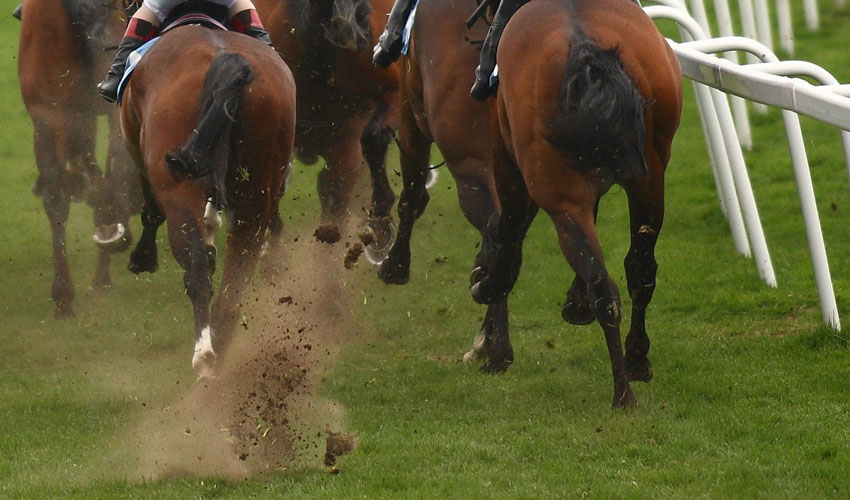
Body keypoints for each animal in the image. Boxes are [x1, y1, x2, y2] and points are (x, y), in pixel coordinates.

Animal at [119, 23, 296, 377]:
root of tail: (227, 60)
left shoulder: (141, 153)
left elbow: (152, 211)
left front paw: (143, 257)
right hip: (257, 183)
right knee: (236, 281)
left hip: (179, 188)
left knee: (197, 268)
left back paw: (204, 354)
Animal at [374, 0, 513, 371]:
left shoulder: (411, 117)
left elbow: (411, 196)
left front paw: (395, 264)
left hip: (470, 167)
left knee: (495, 233)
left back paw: (494, 346)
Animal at [470, 0, 683, 407]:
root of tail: (587, 52)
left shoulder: (507, 155)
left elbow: (508, 229)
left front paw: (486, 284)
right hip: (649, 181)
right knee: (639, 269)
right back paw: (635, 361)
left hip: (559, 192)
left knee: (602, 282)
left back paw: (622, 393)